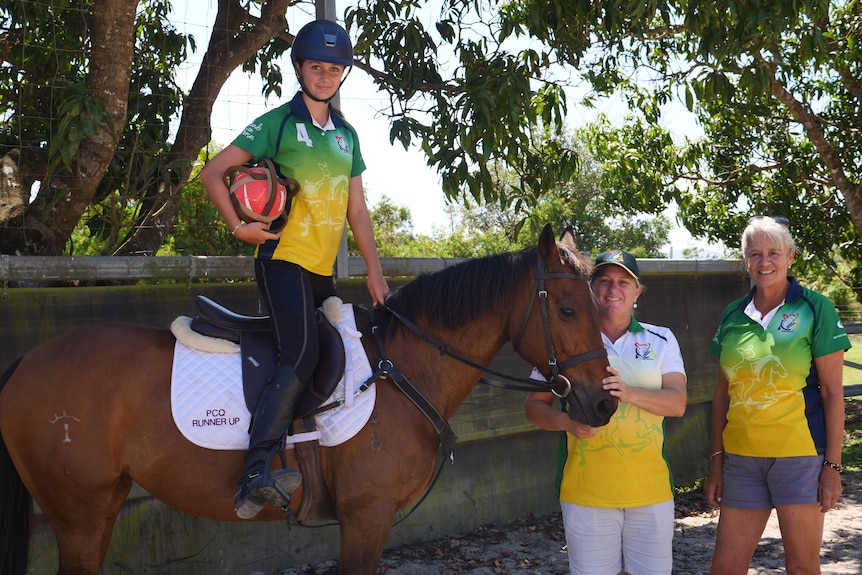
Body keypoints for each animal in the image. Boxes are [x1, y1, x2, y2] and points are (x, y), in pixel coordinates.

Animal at [1, 225, 620, 575]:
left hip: (99, 505)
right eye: (569, 310)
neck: (399, 368)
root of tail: (27, 360)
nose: (604, 405)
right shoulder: (367, 517)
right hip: (78, 514)